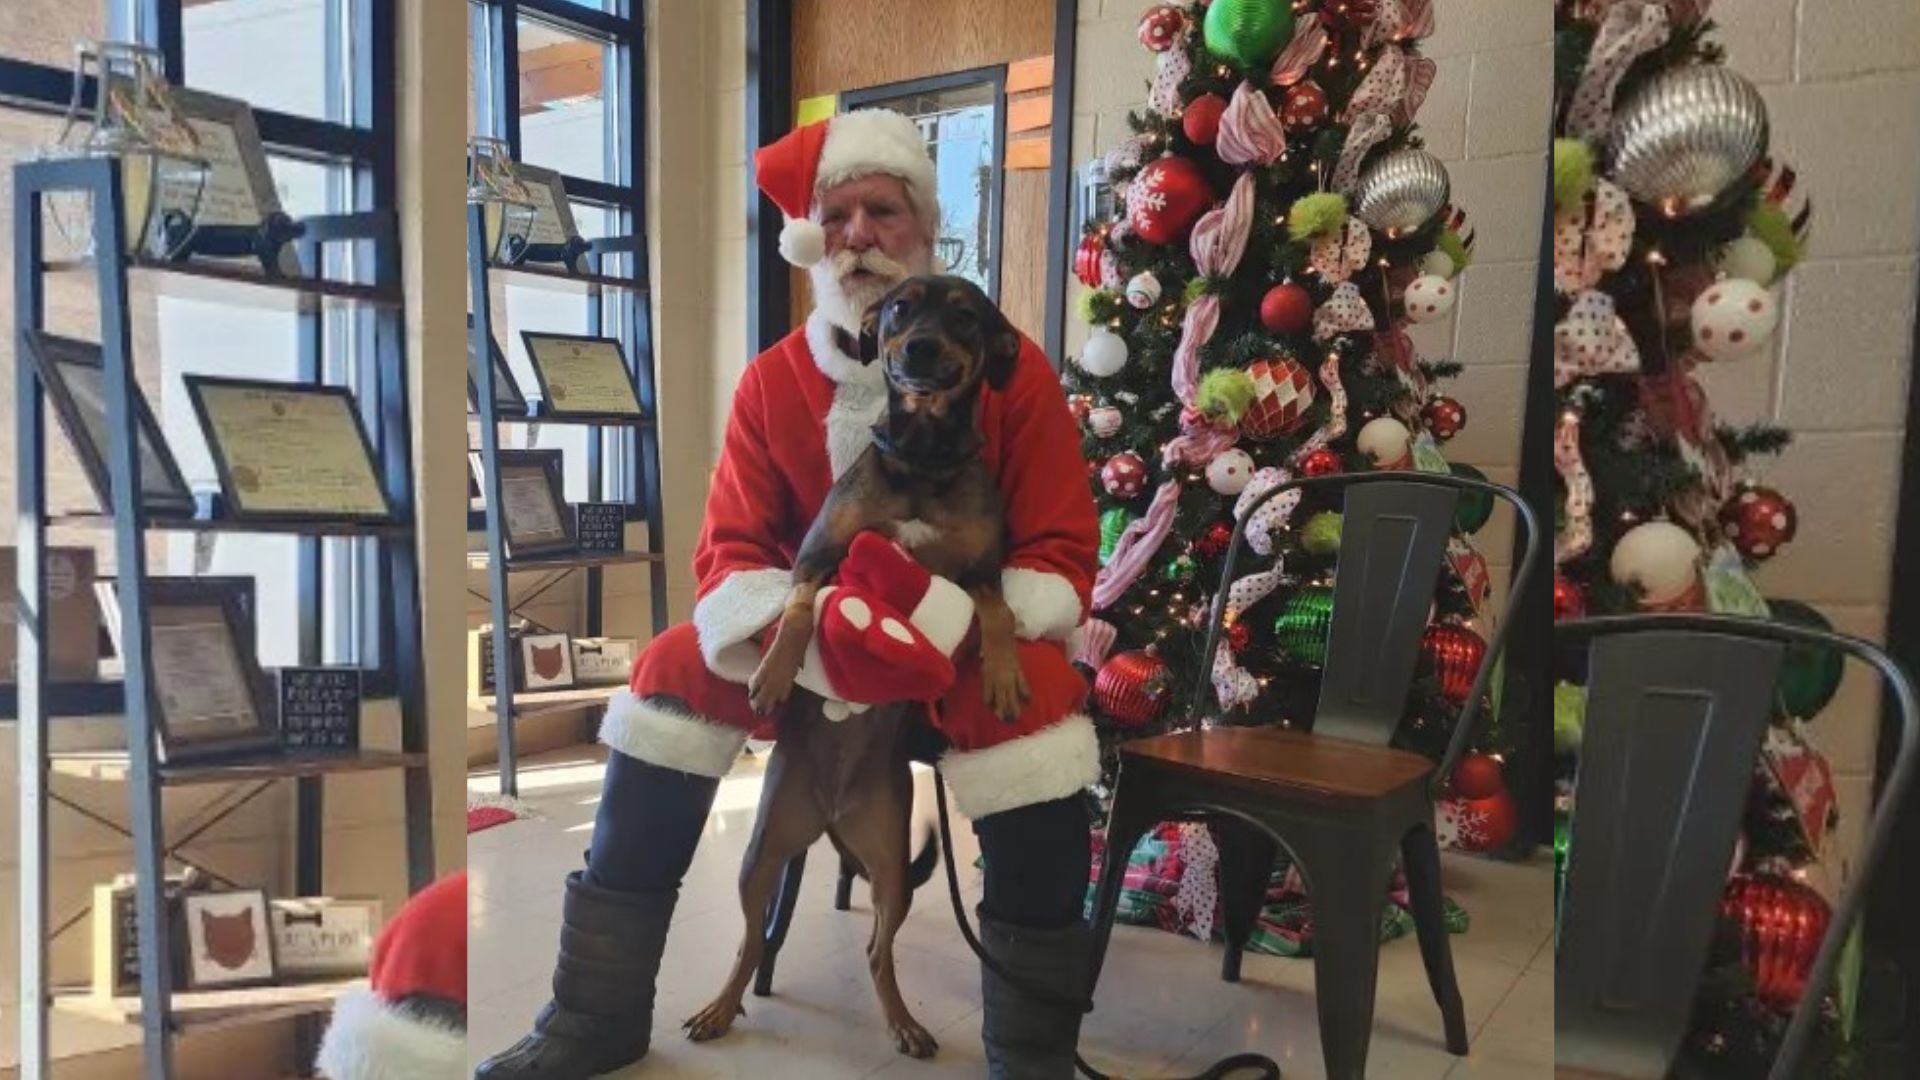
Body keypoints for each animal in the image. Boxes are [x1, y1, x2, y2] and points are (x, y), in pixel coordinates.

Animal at [683, 272, 1029, 1053]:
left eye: (965, 317)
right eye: (901, 307)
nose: (920, 347)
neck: (923, 457)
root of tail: (830, 814)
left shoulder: (982, 573)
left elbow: (995, 613)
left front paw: (1000, 673)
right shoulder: (819, 553)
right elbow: (802, 605)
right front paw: (775, 674)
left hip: (890, 866)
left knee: (877, 950)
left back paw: (904, 1024)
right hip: (760, 855)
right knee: (750, 943)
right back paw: (719, 1008)